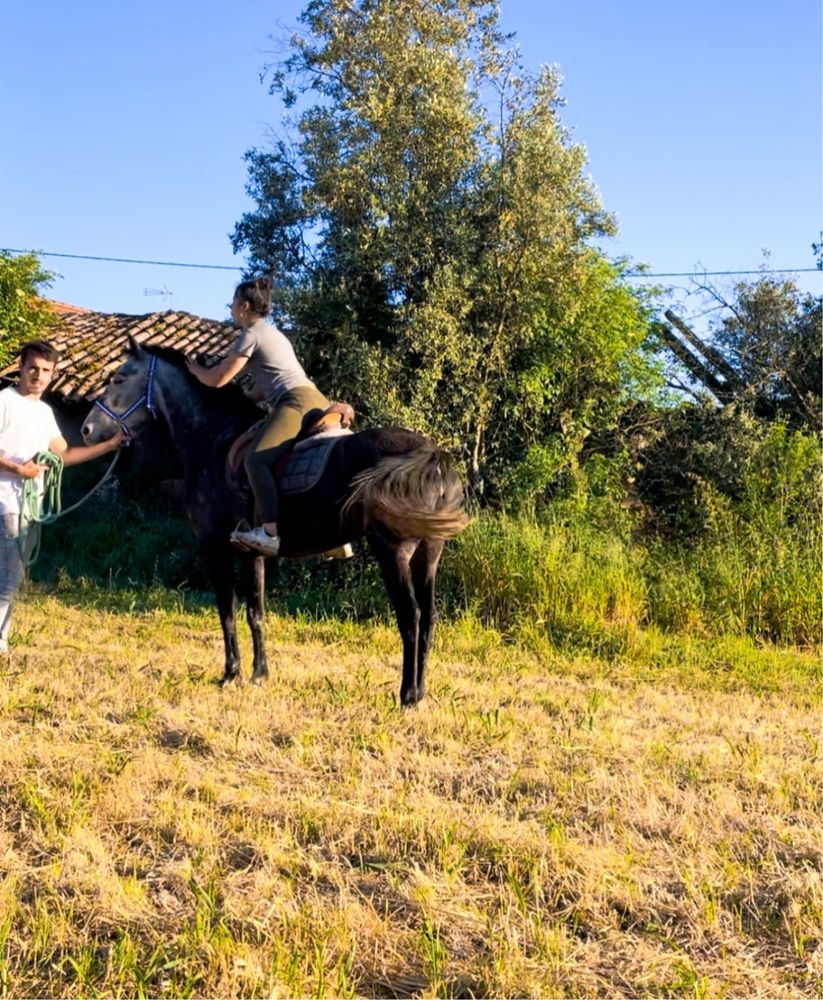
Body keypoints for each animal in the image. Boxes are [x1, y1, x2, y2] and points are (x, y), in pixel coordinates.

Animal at [83, 336, 470, 704]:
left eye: (118, 378)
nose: (86, 430)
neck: (211, 438)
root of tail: (430, 456)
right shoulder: (251, 552)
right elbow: (255, 612)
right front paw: (259, 674)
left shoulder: (213, 545)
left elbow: (227, 609)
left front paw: (230, 674)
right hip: (428, 552)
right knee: (429, 618)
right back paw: (420, 692)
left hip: (393, 552)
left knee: (411, 618)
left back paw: (407, 696)